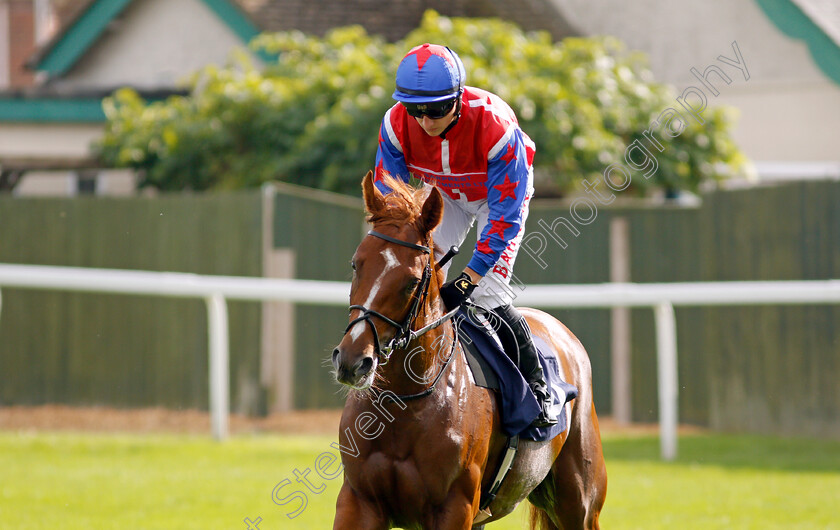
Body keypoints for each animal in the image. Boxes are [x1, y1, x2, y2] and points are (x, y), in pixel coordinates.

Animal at [332, 171, 608, 524]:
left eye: (411, 281)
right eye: (356, 265)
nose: (353, 361)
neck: (402, 402)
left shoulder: (456, 505)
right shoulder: (358, 501)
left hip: (580, 504)